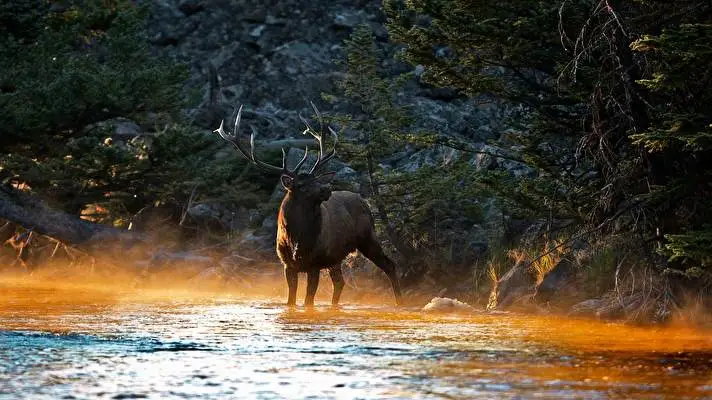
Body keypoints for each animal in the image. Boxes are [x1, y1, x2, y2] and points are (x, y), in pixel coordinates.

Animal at [214, 103, 403, 307]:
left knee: (389, 265)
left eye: (317, 180)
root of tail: (364, 201)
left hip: (367, 238)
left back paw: (400, 302)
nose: (326, 189)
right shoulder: (288, 265)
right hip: (335, 257)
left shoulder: (315, 264)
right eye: (302, 185)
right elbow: (291, 301)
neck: (297, 239)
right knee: (340, 282)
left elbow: (308, 302)